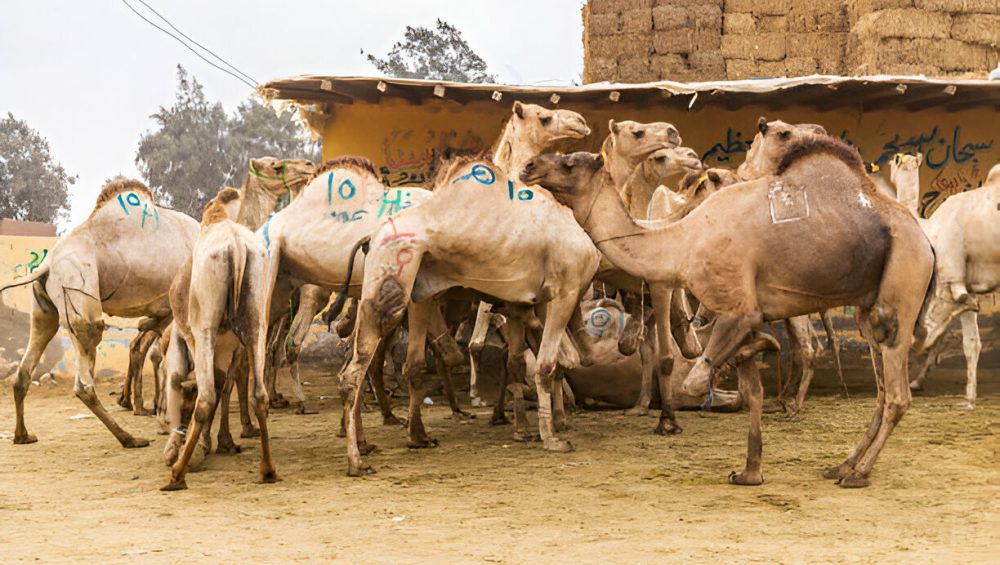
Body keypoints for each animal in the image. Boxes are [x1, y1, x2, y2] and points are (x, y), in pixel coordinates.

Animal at [0, 179, 199, 448]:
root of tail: (47, 264)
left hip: (43, 309)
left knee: (24, 369)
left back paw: (23, 435)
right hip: (80, 294)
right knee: (85, 379)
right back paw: (130, 438)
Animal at [161, 188, 276, 490]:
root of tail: (236, 247)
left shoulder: (189, 337)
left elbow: (184, 381)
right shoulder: (234, 348)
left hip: (206, 328)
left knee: (206, 397)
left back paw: (177, 474)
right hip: (257, 323)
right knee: (259, 394)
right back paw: (268, 470)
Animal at [522, 131, 933, 488]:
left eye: (568, 164)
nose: (528, 166)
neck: (684, 240)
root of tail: (925, 240)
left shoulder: (738, 309)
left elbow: (697, 379)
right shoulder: (743, 312)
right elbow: (752, 391)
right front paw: (751, 471)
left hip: (902, 286)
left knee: (897, 395)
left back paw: (858, 473)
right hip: (868, 309)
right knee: (881, 391)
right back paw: (843, 464)